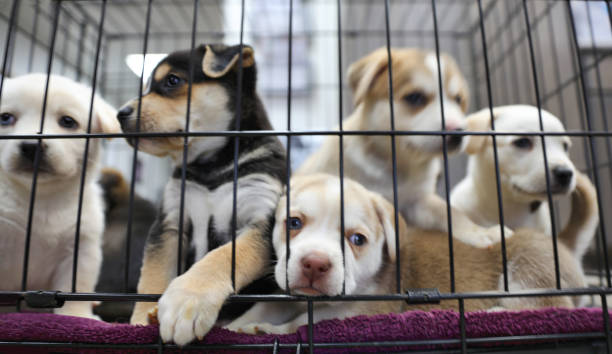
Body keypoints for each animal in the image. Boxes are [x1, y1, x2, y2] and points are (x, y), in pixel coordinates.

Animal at [0, 73, 120, 320]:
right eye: (5, 118)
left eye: (67, 121)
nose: (31, 146)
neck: (41, 197)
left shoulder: (81, 249)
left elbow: (77, 288)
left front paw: (78, 315)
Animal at [117, 43, 286, 342]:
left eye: (172, 81)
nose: (120, 114)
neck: (212, 166)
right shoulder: (169, 223)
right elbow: (152, 276)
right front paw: (139, 320)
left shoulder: (261, 219)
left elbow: (222, 256)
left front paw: (187, 300)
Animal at [298, 47, 506, 249]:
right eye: (415, 97)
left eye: (458, 99)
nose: (458, 133)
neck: (397, 164)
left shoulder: (419, 201)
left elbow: (449, 211)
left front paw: (480, 232)